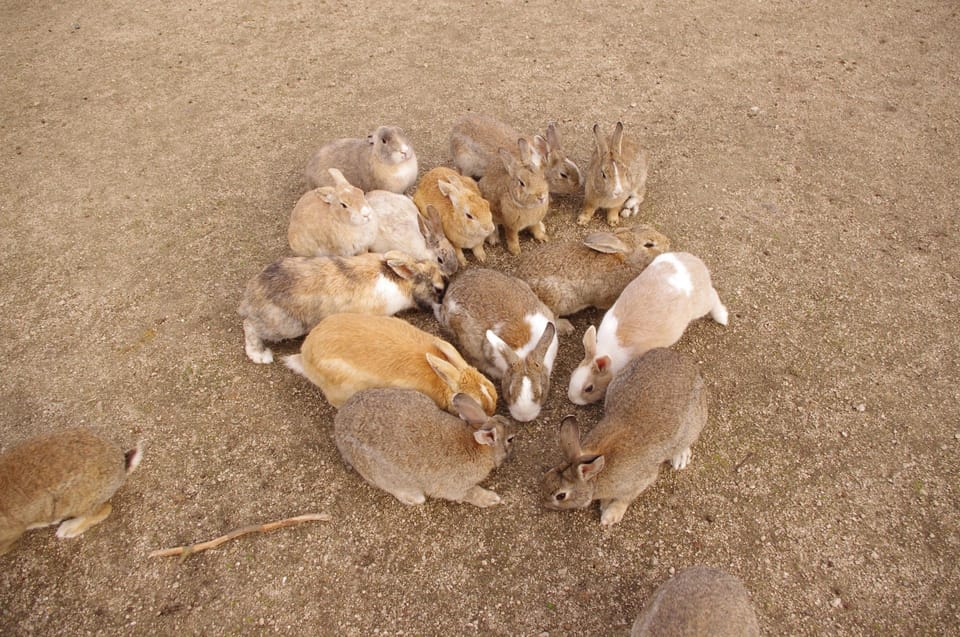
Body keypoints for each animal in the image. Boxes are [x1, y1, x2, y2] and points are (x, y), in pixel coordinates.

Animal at [238, 251, 445, 364]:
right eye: (438, 288)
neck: (401, 282)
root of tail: (250, 298)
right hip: (285, 326)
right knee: (249, 326)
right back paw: (259, 355)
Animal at [334, 388, 517, 507]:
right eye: (510, 439)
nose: (513, 448)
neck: (480, 447)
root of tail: (338, 426)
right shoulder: (457, 488)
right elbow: (470, 494)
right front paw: (492, 499)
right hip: (380, 474)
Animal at [544, 348, 707, 526]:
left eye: (561, 495)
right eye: (548, 474)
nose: (544, 502)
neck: (596, 477)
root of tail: (687, 362)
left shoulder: (640, 481)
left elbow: (624, 499)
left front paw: (609, 516)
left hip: (693, 424)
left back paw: (680, 458)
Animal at [568, 252, 727, 405]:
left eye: (589, 388)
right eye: (573, 374)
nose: (572, 399)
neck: (608, 351)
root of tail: (698, 265)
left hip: (701, 305)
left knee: (713, 296)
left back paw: (722, 317)